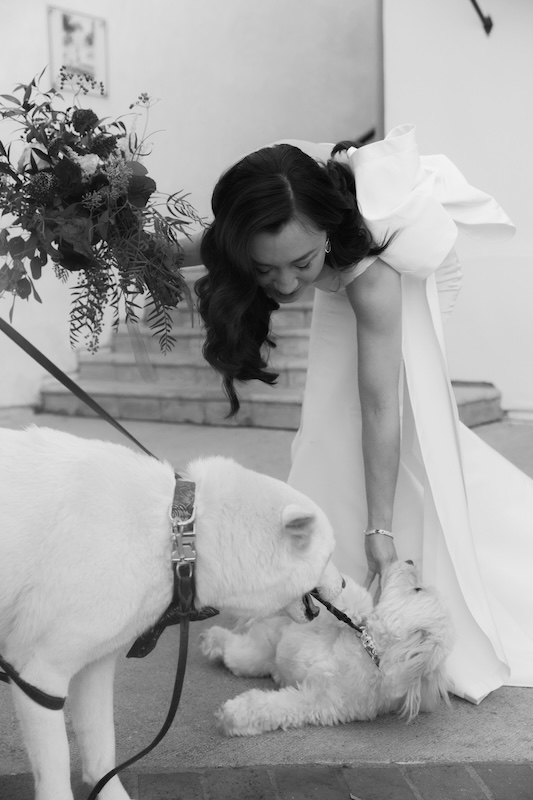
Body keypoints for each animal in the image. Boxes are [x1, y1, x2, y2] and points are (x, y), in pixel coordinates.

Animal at [0, 426, 342, 800]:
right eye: (329, 556)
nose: (343, 583)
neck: (177, 537)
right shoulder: (39, 675)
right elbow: (57, 773)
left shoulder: (93, 666)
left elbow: (101, 752)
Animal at [201, 560, 454, 735]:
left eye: (417, 590)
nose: (410, 560)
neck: (368, 651)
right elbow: (354, 602)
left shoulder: (316, 702)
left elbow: (274, 707)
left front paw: (232, 716)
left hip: (253, 655)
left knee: (233, 652)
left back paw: (212, 639)